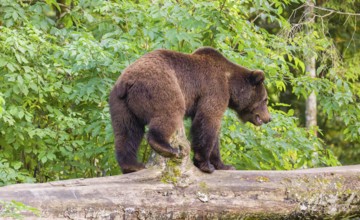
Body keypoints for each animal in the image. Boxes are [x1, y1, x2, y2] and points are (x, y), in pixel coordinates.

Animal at [108, 47, 272, 174]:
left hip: (121, 104)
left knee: (127, 131)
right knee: (170, 111)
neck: (230, 84)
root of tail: (127, 81)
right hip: (160, 86)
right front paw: (206, 164)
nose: (269, 118)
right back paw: (166, 148)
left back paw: (131, 165)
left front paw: (224, 165)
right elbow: (208, 120)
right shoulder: (214, 88)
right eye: (265, 99)